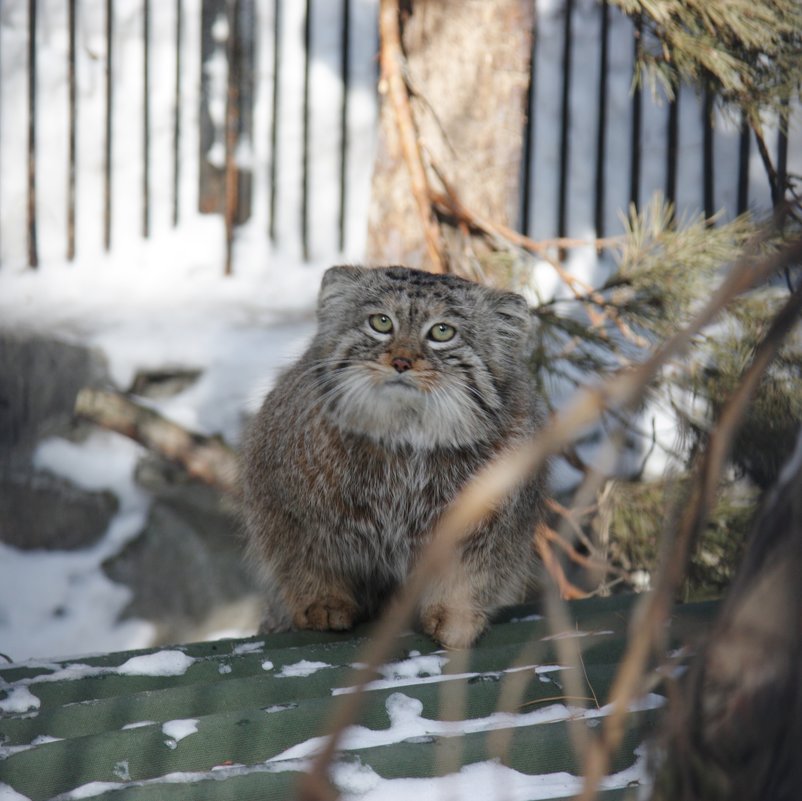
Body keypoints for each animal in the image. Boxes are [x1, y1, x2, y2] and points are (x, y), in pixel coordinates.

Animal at [242, 266, 544, 648]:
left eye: (442, 332)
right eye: (381, 323)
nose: (401, 361)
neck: (405, 440)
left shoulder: (491, 530)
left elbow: (470, 575)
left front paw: (454, 614)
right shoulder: (291, 514)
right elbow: (306, 564)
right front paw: (323, 602)